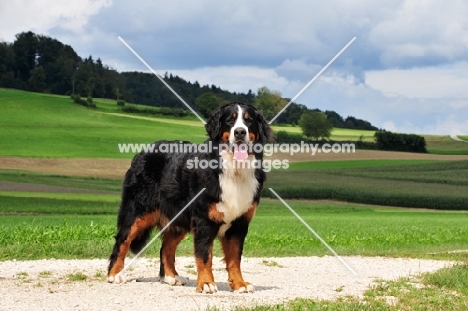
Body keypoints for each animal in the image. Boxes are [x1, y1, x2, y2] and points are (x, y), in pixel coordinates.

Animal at [107, 103, 272, 294]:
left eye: (248, 120)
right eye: (230, 120)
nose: (239, 132)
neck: (234, 169)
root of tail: (142, 152)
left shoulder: (239, 223)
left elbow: (234, 258)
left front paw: (239, 284)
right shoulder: (204, 220)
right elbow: (205, 255)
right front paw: (206, 283)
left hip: (178, 218)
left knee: (166, 247)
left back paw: (171, 277)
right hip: (138, 211)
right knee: (122, 241)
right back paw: (115, 274)